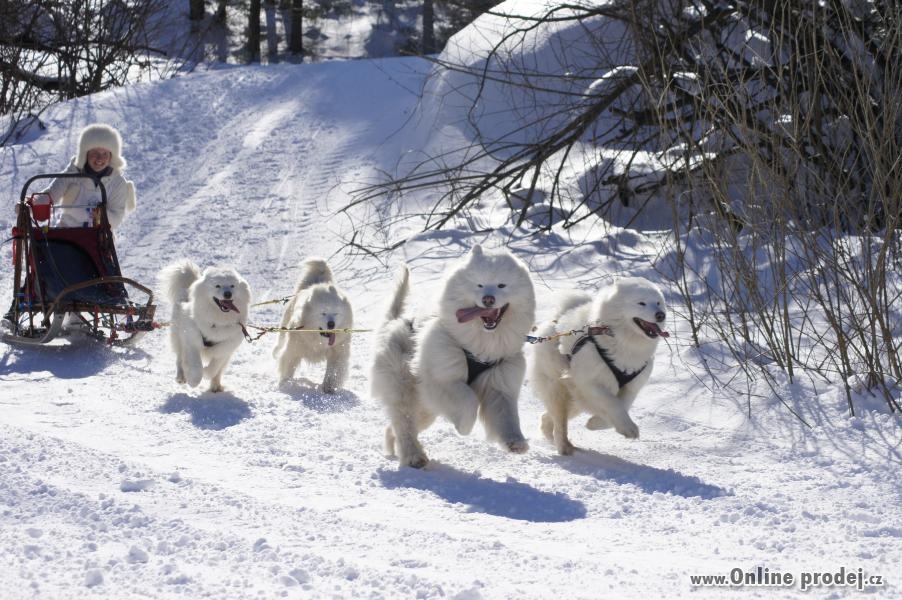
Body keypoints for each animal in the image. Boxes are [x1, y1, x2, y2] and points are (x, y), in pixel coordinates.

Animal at [159, 258, 251, 394]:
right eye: (217, 285)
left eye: (232, 286)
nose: (227, 294)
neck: (217, 320)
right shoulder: (192, 340)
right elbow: (196, 366)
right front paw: (193, 381)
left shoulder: (226, 346)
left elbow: (215, 367)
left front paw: (207, 373)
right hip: (177, 336)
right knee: (179, 358)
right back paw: (181, 377)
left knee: (218, 371)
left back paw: (216, 386)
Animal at [272, 258, 354, 394]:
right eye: (323, 313)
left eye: (336, 313)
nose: (331, 324)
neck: (318, 341)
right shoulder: (293, 350)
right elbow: (288, 366)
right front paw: (285, 384)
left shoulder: (338, 352)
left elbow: (333, 372)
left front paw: (328, 388)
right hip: (284, 328)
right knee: (280, 343)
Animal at [370, 245, 536, 468]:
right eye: (479, 284)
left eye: (502, 285)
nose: (488, 299)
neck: (482, 343)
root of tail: (393, 322)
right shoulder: (443, 378)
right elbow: (469, 401)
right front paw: (463, 427)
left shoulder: (499, 382)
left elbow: (507, 415)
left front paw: (515, 442)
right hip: (404, 391)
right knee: (404, 424)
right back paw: (414, 457)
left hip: (426, 408)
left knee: (395, 427)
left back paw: (395, 450)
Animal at [528, 278, 672, 454]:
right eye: (641, 303)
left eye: (658, 303)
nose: (661, 315)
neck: (623, 341)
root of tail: (557, 319)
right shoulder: (589, 382)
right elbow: (613, 403)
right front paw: (628, 428)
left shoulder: (631, 387)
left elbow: (623, 405)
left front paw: (595, 423)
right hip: (559, 389)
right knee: (560, 422)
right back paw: (564, 447)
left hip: (575, 400)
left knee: (547, 417)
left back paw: (551, 437)